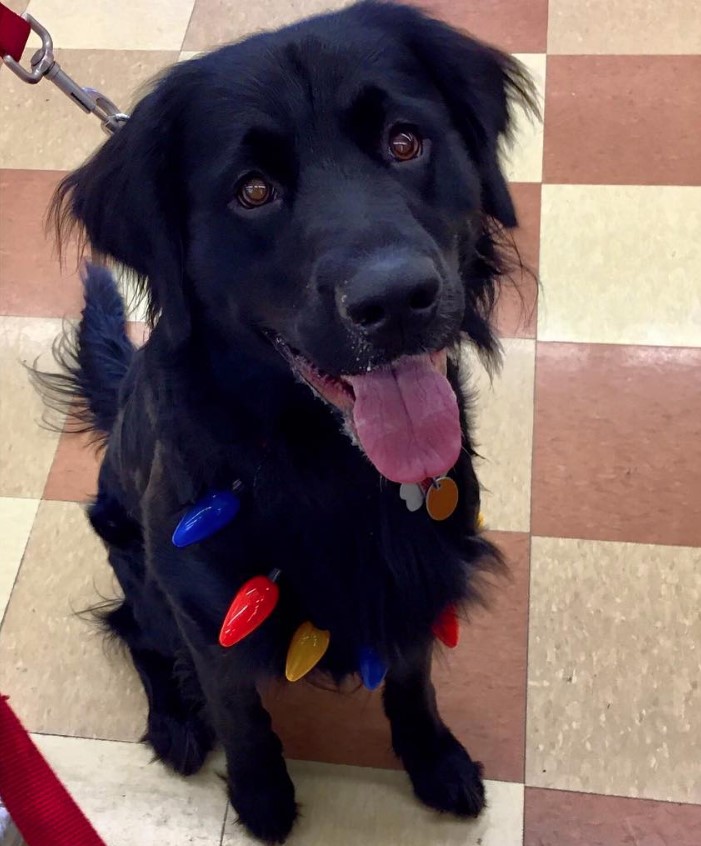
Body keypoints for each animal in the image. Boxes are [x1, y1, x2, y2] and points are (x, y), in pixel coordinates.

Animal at [42, 3, 536, 844]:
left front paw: (433, 758)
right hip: (136, 564)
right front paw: (263, 799)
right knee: (134, 632)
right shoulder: (202, 609)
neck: (328, 465)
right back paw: (175, 722)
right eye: (252, 190)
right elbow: (241, 716)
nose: (395, 298)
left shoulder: (420, 571)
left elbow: (412, 678)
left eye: (404, 142)